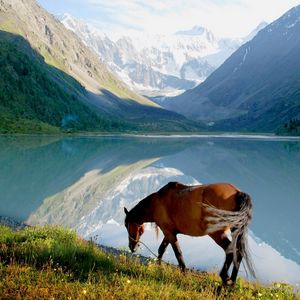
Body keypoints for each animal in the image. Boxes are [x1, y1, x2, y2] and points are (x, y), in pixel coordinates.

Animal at [124, 180, 255, 286]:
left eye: (126, 225)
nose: (132, 247)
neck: (157, 202)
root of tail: (237, 192)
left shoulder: (169, 233)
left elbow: (178, 253)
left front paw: (183, 274)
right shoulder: (169, 233)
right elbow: (161, 249)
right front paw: (158, 267)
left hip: (217, 233)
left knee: (231, 250)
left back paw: (224, 278)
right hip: (235, 230)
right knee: (238, 252)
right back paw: (232, 283)